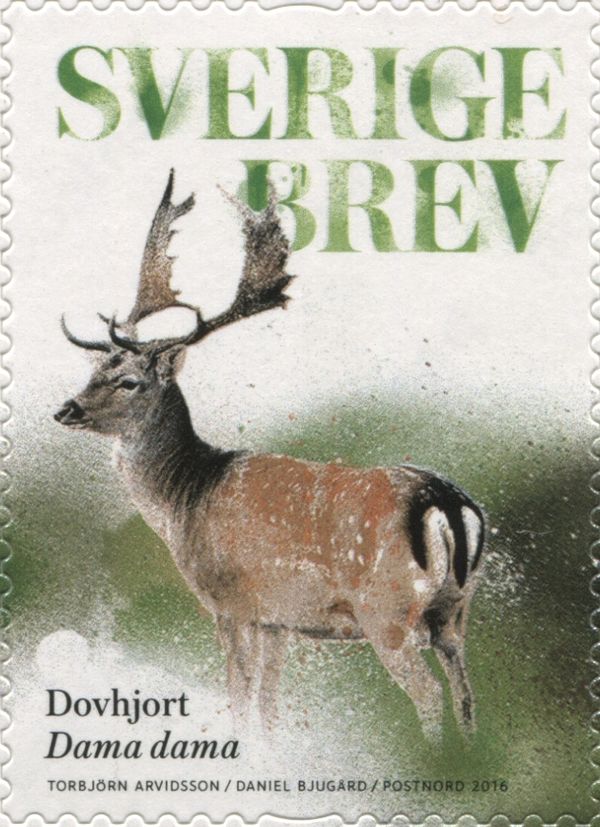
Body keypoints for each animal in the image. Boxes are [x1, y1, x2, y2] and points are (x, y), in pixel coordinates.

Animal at [55, 169, 486, 741]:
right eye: (94, 371)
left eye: (128, 381)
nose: (67, 409)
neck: (185, 501)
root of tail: (446, 503)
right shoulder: (278, 618)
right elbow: (268, 705)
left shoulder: (231, 602)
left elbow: (239, 698)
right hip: (455, 611)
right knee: (466, 693)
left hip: (387, 611)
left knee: (428, 693)